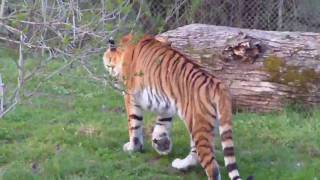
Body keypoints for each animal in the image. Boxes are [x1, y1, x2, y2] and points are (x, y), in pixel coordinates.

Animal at [104, 34, 241, 180]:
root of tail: (219, 85)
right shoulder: (165, 101)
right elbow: (161, 125)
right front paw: (162, 145)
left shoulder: (131, 97)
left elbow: (134, 124)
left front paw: (132, 147)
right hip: (203, 127)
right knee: (195, 154)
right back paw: (181, 164)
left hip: (199, 128)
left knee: (212, 168)